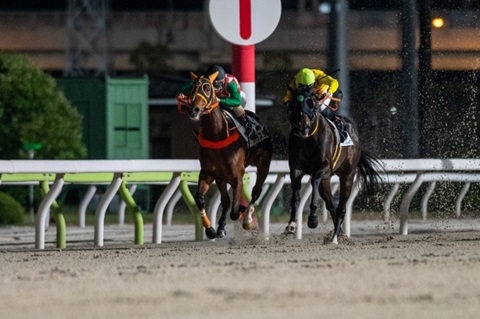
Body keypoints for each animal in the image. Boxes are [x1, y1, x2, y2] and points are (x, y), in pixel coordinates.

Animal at [185, 71, 272, 239]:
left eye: (207, 88)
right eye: (192, 88)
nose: (194, 110)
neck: (216, 136)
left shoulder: (237, 177)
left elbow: (235, 212)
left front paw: (243, 215)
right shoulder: (208, 174)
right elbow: (199, 198)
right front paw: (211, 229)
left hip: (263, 164)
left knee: (255, 192)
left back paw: (247, 219)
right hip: (221, 177)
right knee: (225, 200)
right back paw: (220, 228)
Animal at [284, 86, 382, 244]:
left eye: (310, 102)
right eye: (292, 104)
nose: (302, 125)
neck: (308, 139)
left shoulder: (325, 167)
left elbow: (314, 180)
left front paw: (313, 219)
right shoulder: (296, 168)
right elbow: (295, 197)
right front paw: (291, 225)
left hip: (347, 176)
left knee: (341, 207)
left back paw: (335, 237)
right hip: (327, 182)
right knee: (331, 206)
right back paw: (339, 233)